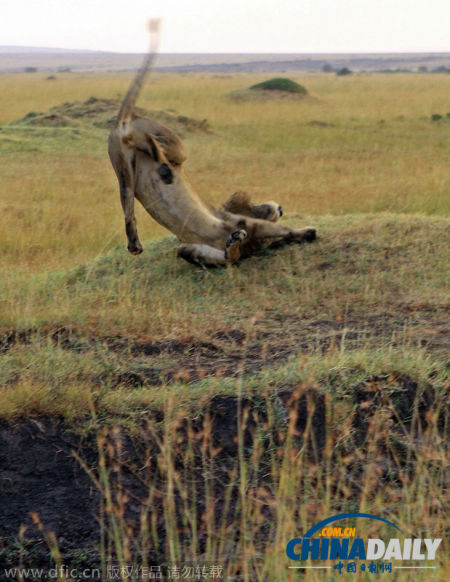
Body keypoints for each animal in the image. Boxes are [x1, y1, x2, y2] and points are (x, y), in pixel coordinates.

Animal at [108, 20, 316, 266]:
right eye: (266, 205)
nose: (280, 207)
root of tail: (124, 123)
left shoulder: (198, 247)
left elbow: (229, 256)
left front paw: (234, 245)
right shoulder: (245, 222)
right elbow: (284, 229)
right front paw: (307, 231)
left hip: (122, 165)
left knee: (128, 203)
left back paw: (135, 243)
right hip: (169, 141)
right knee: (166, 151)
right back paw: (161, 159)